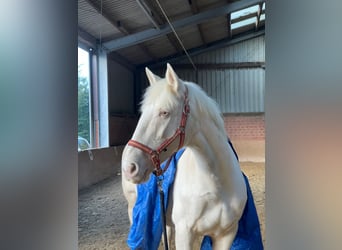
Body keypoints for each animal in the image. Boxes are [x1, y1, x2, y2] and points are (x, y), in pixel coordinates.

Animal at [121, 63, 247, 249]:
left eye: (164, 112)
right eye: (142, 113)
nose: (129, 167)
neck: (217, 185)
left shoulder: (226, 234)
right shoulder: (185, 233)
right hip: (132, 210)